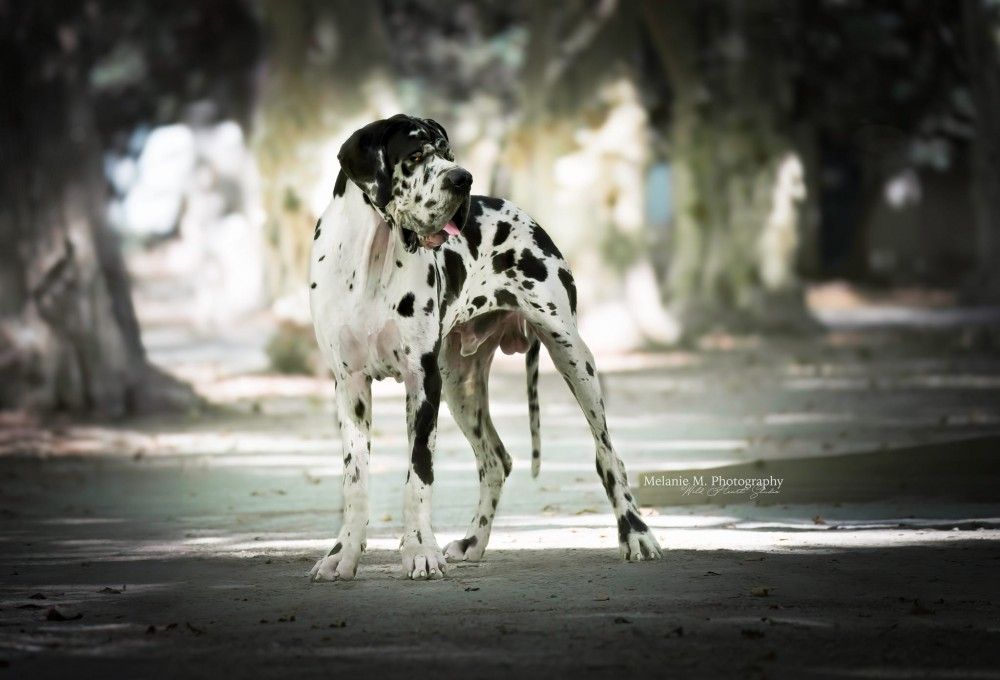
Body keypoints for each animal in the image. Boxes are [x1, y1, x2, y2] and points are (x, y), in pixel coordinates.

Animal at [308, 114, 661, 580]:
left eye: (448, 152)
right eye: (415, 155)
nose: (463, 178)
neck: (371, 260)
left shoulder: (423, 383)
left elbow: (418, 475)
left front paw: (420, 550)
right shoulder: (350, 387)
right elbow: (356, 479)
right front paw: (343, 553)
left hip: (571, 355)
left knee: (608, 456)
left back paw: (636, 534)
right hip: (462, 386)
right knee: (496, 460)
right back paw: (474, 542)